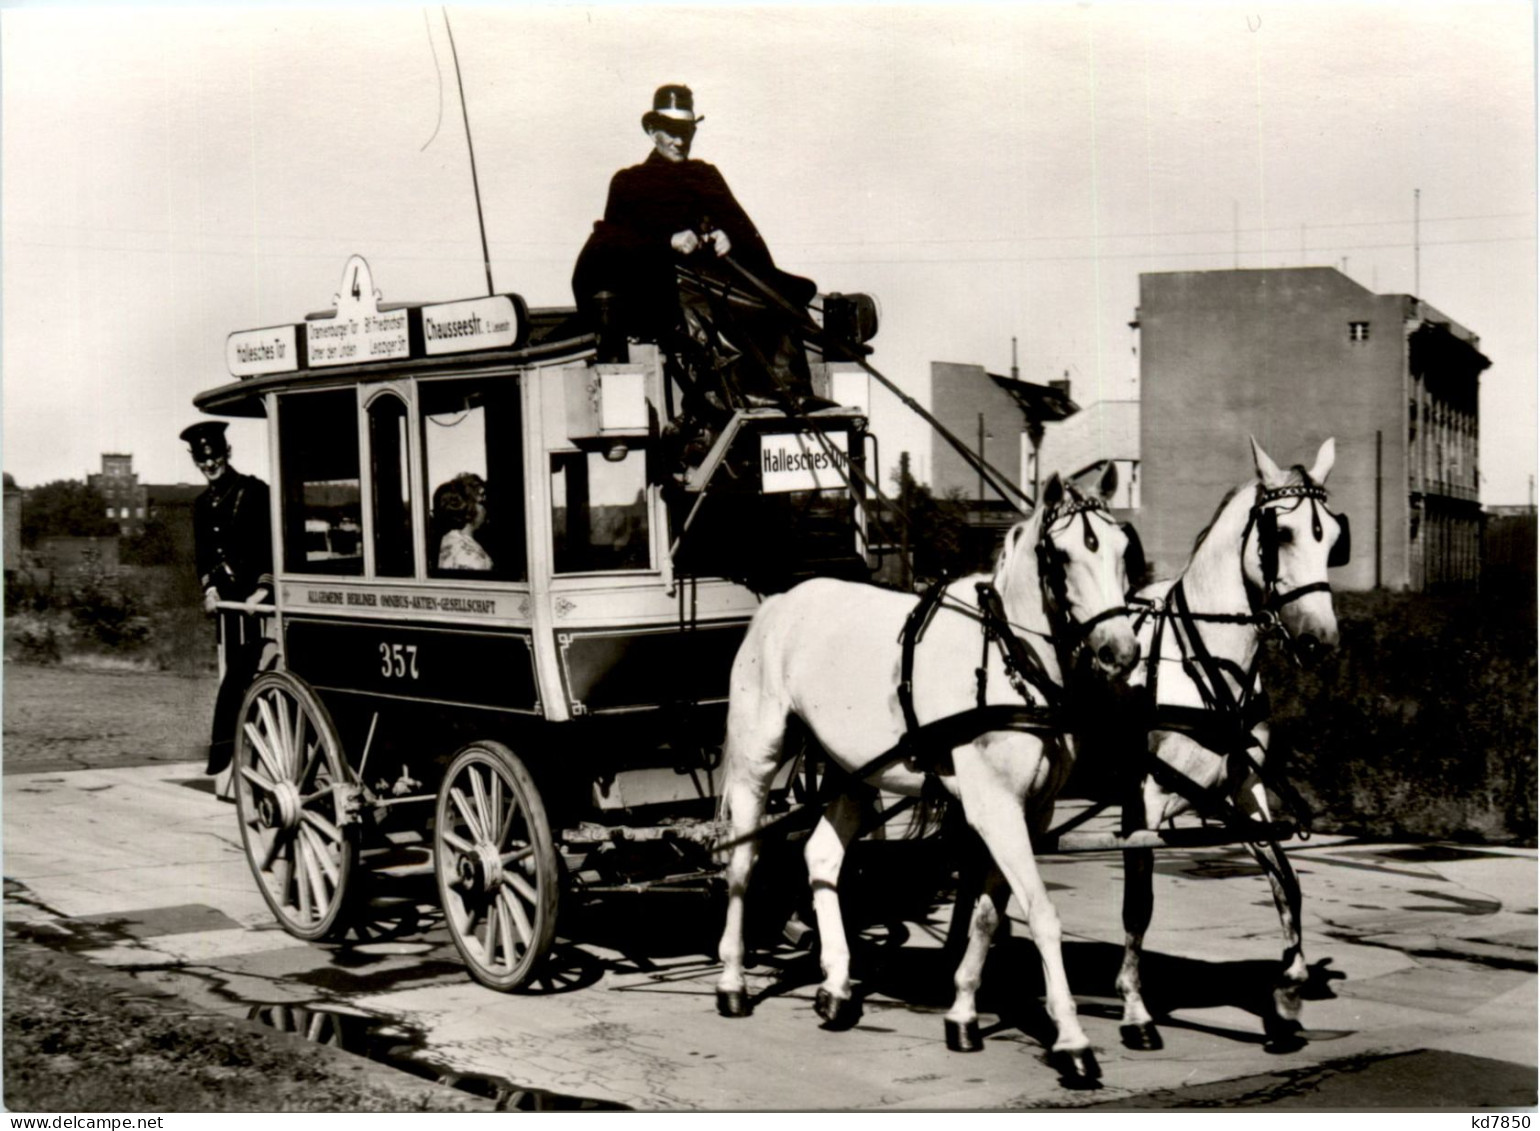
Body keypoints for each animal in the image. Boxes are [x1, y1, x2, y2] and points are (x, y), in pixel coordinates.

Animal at [714, 471, 1139, 1090]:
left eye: (1122, 549)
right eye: (1060, 556)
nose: (1120, 653)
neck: (1011, 657)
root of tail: (779, 601)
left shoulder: (1028, 811)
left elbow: (986, 913)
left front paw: (961, 1014)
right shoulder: (996, 808)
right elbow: (1040, 913)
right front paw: (1072, 1040)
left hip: (851, 770)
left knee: (821, 856)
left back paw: (836, 985)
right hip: (758, 755)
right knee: (743, 863)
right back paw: (732, 981)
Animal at [1102, 440, 1342, 1053]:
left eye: (1333, 535)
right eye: (1281, 533)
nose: (1321, 641)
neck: (1203, 659)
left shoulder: (1245, 790)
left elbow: (1286, 881)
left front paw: (1287, 996)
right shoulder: (1146, 797)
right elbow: (1138, 905)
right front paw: (1135, 1010)